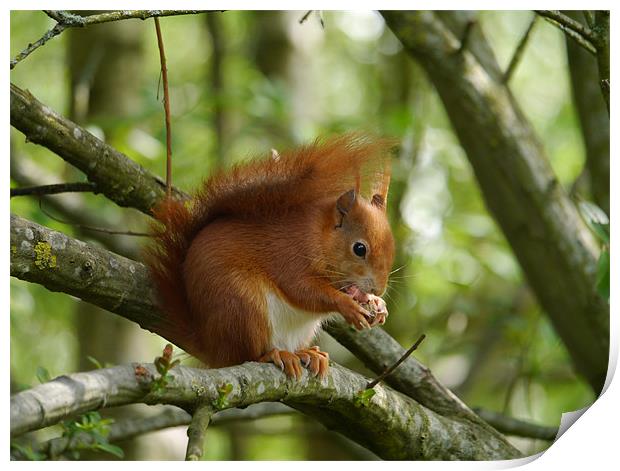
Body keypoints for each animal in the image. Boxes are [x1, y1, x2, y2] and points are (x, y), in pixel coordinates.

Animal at [145, 134, 394, 380]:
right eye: (359, 249)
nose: (378, 289)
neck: (319, 236)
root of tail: (210, 346)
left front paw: (377, 305)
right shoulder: (290, 255)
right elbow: (303, 290)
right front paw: (348, 306)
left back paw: (307, 354)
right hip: (242, 307)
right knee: (245, 355)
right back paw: (274, 355)